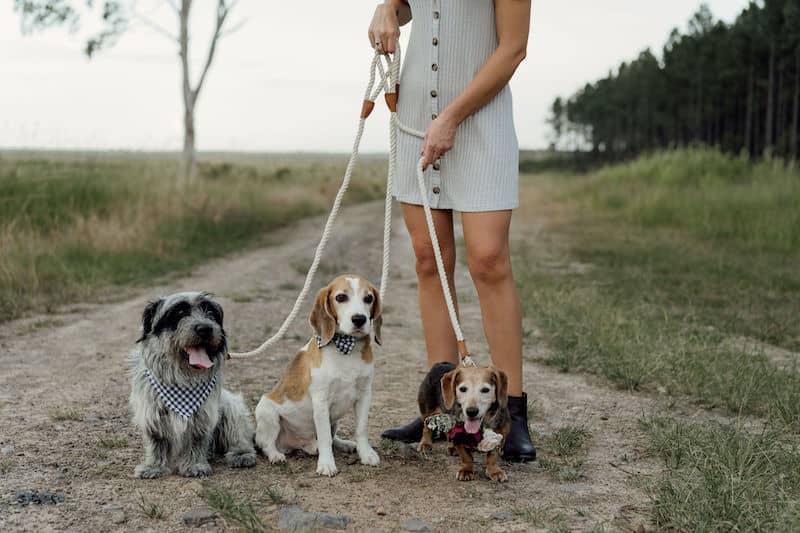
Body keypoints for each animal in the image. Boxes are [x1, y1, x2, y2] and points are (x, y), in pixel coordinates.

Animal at [130, 290, 256, 478]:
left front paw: (194, 465)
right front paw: (154, 466)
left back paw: (242, 454)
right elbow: (157, 442)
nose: (205, 328)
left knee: (239, 436)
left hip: (231, 407)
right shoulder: (152, 413)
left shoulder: (202, 415)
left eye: (210, 313)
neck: (182, 379)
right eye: (179, 313)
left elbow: (196, 440)